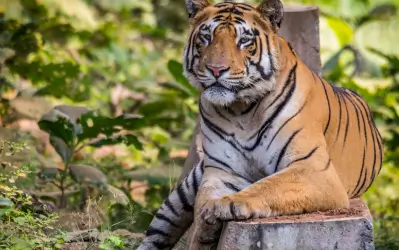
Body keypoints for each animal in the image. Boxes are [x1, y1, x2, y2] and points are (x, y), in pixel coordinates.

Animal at [138, 0, 384, 248]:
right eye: (206, 37)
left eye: (244, 41)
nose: (216, 70)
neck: (241, 112)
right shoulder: (220, 172)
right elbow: (200, 210)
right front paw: (206, 227)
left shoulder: (314, 170)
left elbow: (266, 185)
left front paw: (225, 205)